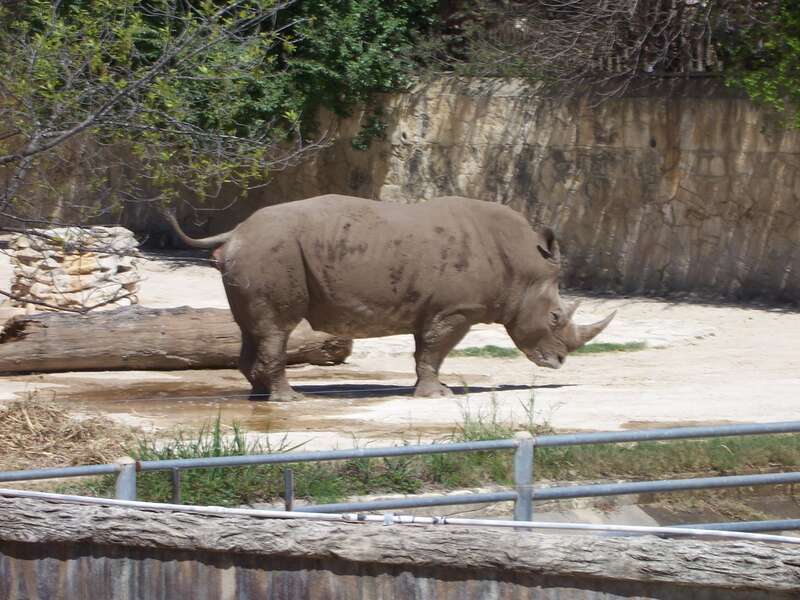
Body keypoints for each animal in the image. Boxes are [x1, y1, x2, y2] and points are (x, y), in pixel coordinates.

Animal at [166, 195, 614, 401]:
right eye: (555, 317)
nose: (560, 362)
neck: (522, 268)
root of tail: (236, 232)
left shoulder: (434, 309)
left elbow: (425, 351)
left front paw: (430, 389)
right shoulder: (455, 310)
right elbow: (434, 350)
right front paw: (439, 396)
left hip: (259, 254)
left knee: (250, 327)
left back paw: (259, 395)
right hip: (271, 251)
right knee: (277, 328)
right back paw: (290, 401)